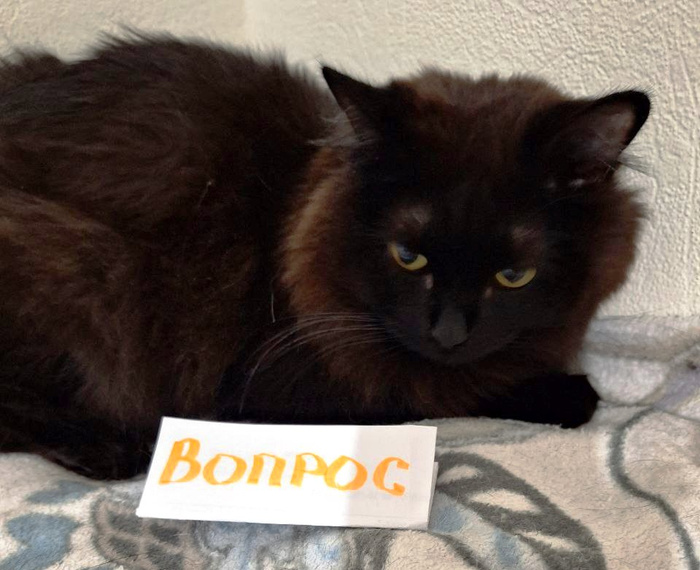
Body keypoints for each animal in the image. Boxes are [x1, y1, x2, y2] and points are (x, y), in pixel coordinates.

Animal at [0, 33, 649, 479]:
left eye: (513, 274)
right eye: (408, 256)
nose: (447, 333)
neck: (294, 205)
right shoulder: (287, 381)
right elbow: (438, 390)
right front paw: (569, 394)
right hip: (85, 269)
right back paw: (111, 449)